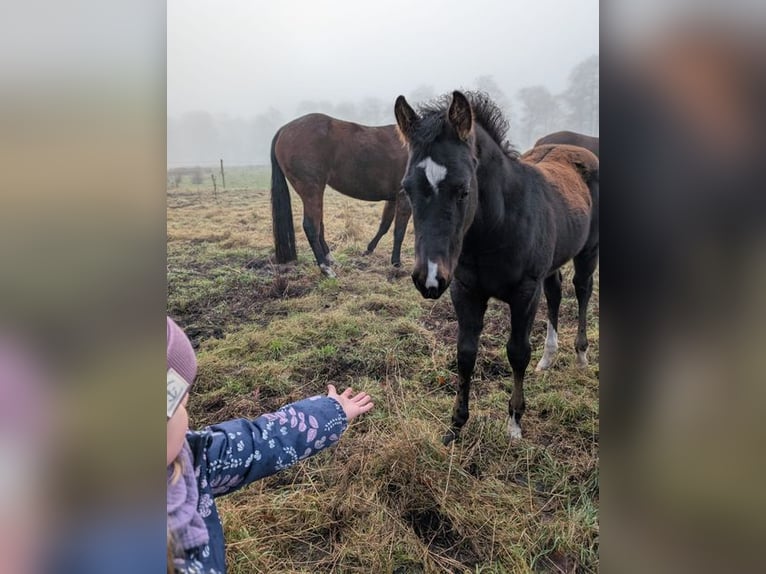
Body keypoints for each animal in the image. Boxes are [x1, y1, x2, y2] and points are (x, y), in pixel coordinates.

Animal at [270, 113, 411, 276]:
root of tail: (283, 130)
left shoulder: (393, 198)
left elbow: (385, 225)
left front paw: (369, 250)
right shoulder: (405, 197)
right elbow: (399, 231)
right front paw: (396, 262)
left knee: (319, 226)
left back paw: (330, 260)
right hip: (311, 191)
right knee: (311, 227)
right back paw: (325, 267)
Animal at [394, 91, 599, 444]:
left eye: (464, 189)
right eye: (408, 188)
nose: (429, 279)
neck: (495, 228)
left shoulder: (525, 292)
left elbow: (517, 352)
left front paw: (514, 423)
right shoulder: (464, 290)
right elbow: (465, 354)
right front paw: (455, 425)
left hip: (588, 251)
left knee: (582, 291)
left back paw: (581, 355)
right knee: (556, 293)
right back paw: (548, 358)